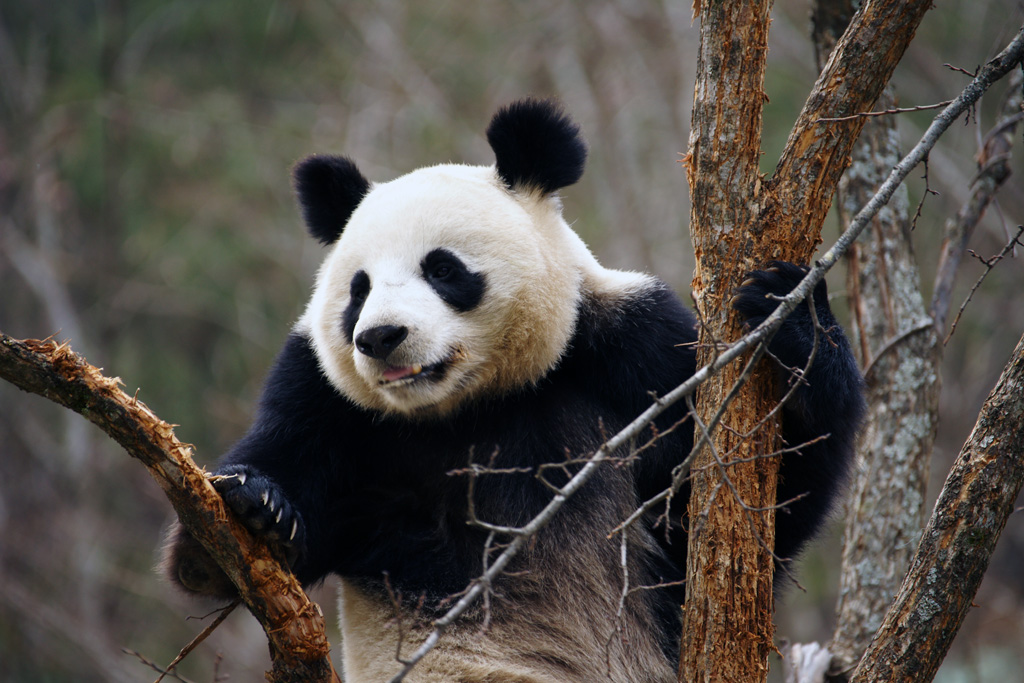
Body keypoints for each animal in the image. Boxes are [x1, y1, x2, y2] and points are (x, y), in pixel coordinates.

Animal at [169, 98, 864, 679]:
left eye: (442, 269)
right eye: (358, 289)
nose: (381, 337)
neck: (468, 406)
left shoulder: (633, 356)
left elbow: (749, 512)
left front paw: (791, 313)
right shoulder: (324, 398)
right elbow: (228, 552)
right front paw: (256, 501)